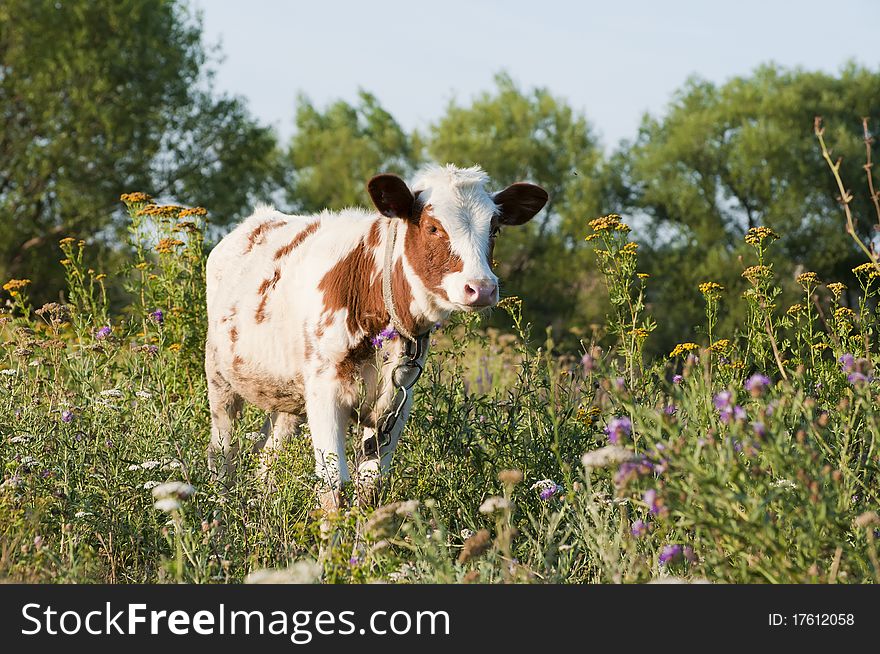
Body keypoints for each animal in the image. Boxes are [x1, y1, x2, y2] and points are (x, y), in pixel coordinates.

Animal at [207, 164, 548, 512]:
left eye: (494, 229)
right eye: (432, 227)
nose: (481, 287)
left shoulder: (397, 403)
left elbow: (371, 487)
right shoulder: (324, 391)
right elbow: (333, 486)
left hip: (286, 395)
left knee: (269, 455)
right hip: (219, 379)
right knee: (222, 451)